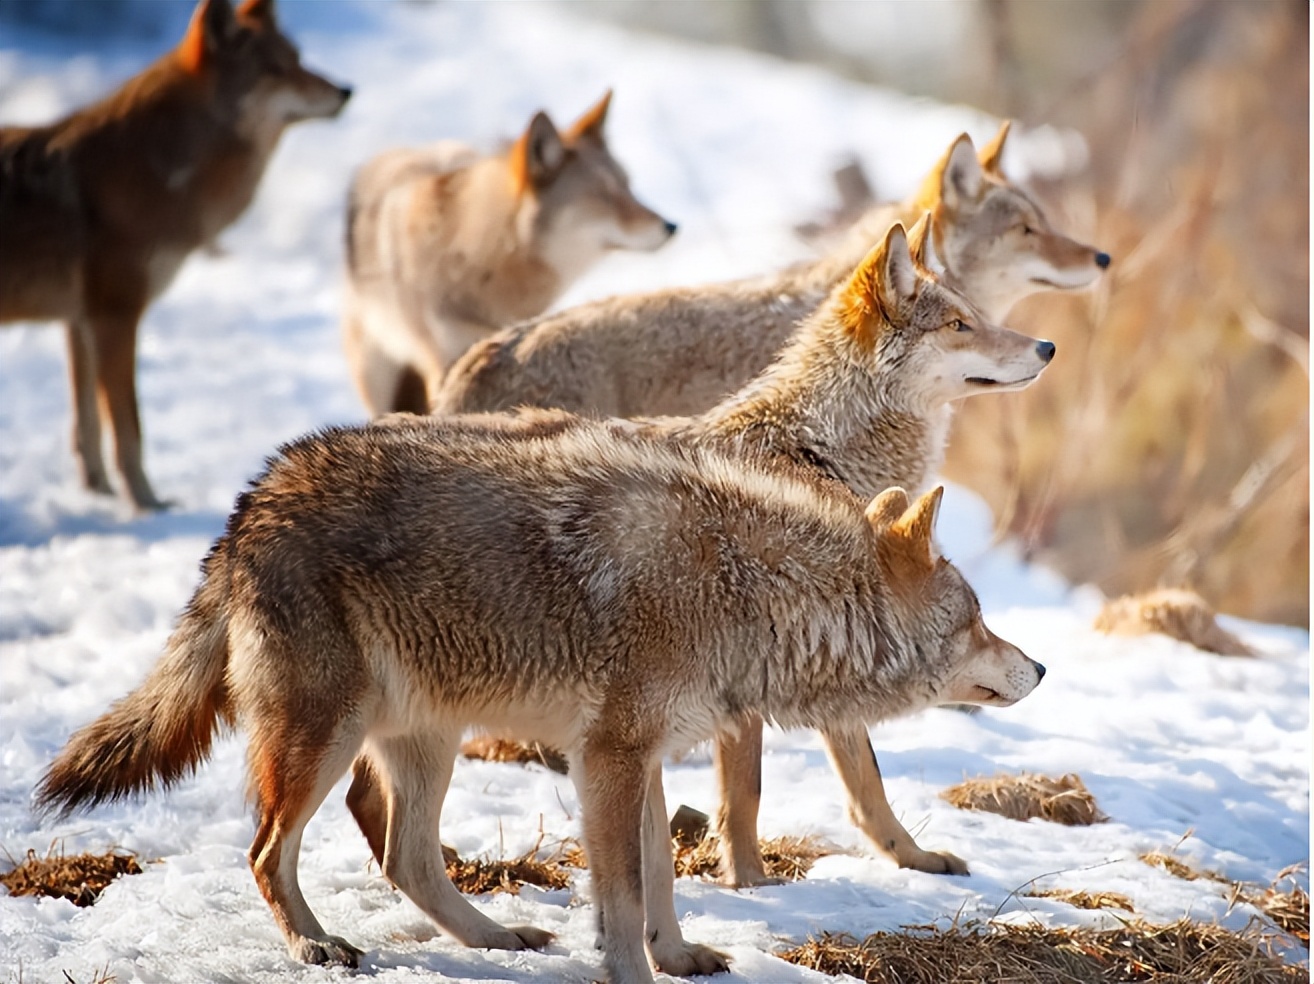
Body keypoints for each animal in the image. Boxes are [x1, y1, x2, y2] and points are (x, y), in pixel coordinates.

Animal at [0, 0, 349, 507]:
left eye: (298, 60)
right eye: (275, 70)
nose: (345, 90)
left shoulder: (79, 322)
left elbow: (87, 426)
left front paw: (98, 495)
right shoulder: (114, 316)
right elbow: (129, 427)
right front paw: (145, 503)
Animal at [35, 409, 1040, 977]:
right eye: (980, 617)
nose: (1038, 668)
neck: (745, 588)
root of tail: (248, 505)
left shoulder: (638, 759)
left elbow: (662, 876)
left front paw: (681, 959)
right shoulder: (609, 757)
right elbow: (624, 897)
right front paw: (636, 973)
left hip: (426, 740)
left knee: (405, 857)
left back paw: (496, 942)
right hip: (326, 737)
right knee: (266, 853)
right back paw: (317, 948)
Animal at [354, 216, 1051, 888]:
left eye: (976, 313)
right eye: (960, 324)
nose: (1046, 347)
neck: (813, 451)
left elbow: (866, 784)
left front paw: (914, 859)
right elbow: (747, 794)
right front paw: (749, 882)